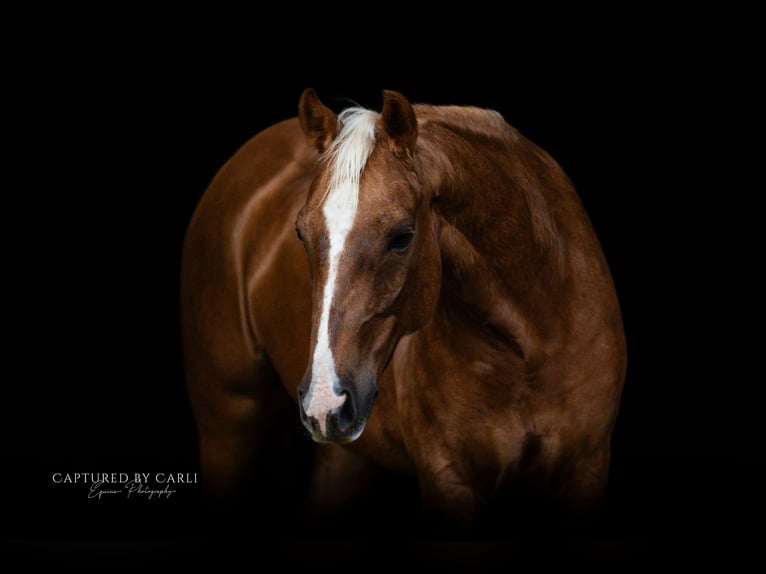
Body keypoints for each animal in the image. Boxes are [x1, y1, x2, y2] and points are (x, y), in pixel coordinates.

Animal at [180, 88, 627, 534]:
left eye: (402, 236)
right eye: (301, 234)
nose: (325, 401)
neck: (528, 350)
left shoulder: (586, 469)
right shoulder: (448, 479)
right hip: (228, 425)